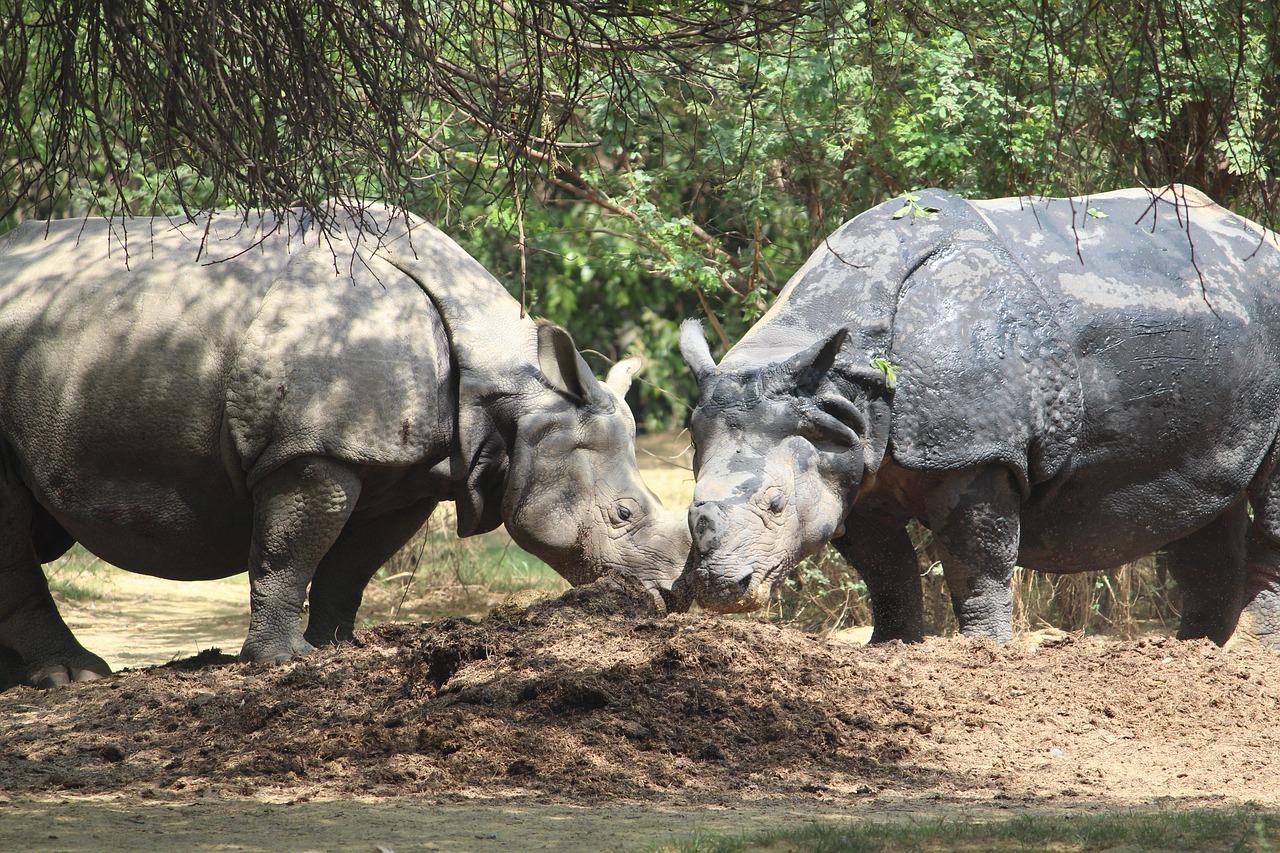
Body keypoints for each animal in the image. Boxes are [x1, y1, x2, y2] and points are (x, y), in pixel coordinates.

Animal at [0, 204, 691, 686]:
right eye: (622, 514)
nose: (670, 600)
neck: (512, 389)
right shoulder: (313, 448)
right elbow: (290, 551)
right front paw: (283, 662)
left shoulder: (407, 469)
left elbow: (352, 563)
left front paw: (338, 648)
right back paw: (72, 677)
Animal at [686, 185, 1280, 645]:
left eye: (775, 503)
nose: (719, 590)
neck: (837, 372)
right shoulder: (852, 453)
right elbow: (884, 566)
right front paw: (892, 646)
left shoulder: (977, 451)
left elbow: (978, 558)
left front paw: (985, 651)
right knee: (1206, 501)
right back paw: (1197, 651)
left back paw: (1247, 653)